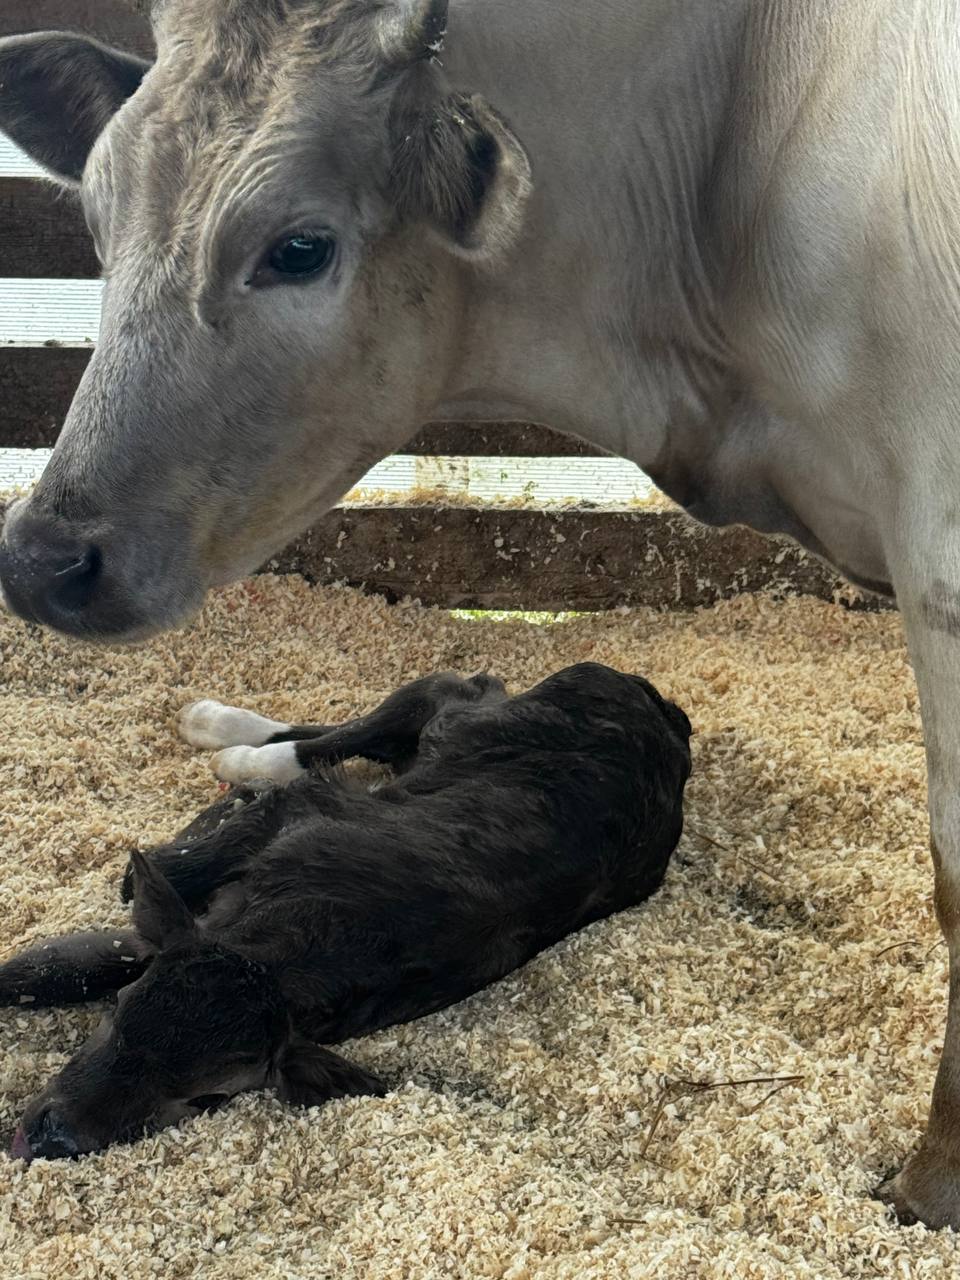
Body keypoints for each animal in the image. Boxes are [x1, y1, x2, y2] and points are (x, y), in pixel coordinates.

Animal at [0, 663, 692, 1160]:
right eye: (118, 1020)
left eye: (205, 1098)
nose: (49, 1136)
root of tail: (662, 709)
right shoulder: (274, 841)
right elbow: (62, 963)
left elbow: (80, 958)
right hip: (465, 720)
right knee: (372, 725)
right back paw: (216, 733)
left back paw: (229, 750)